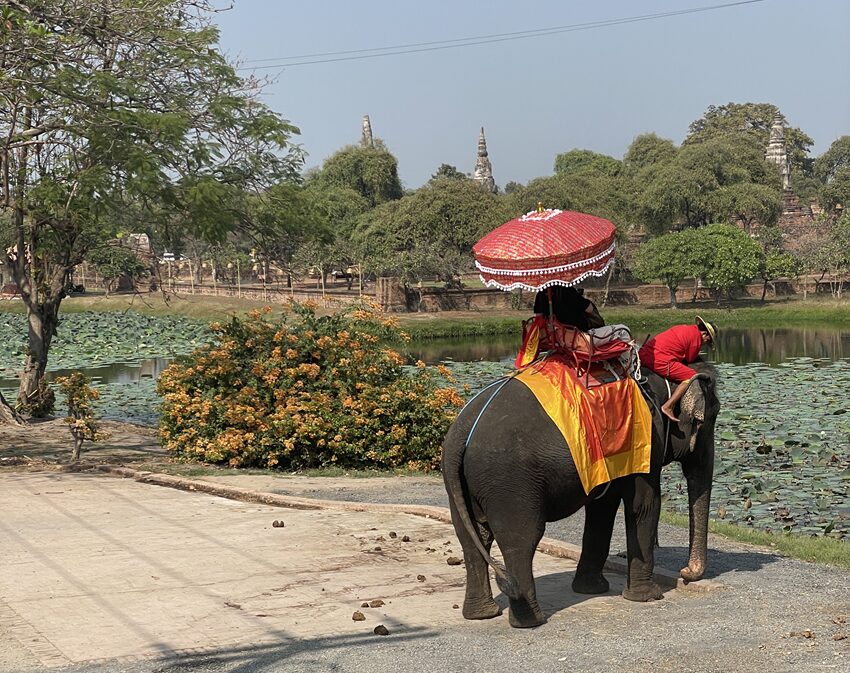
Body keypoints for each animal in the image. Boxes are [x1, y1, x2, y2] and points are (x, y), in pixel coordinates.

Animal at [440, 360, 720, 628]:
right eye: (713, 415)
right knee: (520, 539)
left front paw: (591, 589)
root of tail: (462, 433)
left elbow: (602, 509)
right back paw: (531, 621)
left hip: (460, 485)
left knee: (472, 538)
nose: (685, 572)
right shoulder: (648, 439)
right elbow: (644, 505)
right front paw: (649, 596)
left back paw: (482, 614)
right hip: (510, 482)